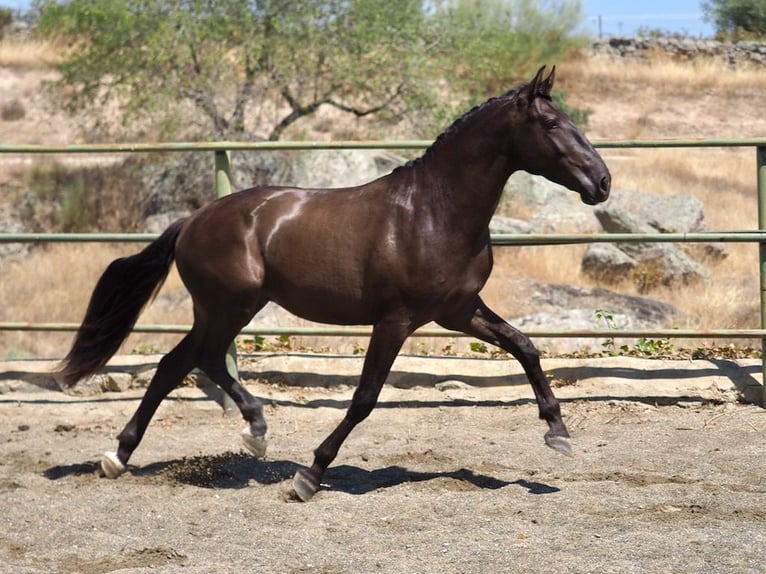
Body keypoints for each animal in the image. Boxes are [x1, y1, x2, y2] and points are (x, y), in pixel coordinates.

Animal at [60, 66, 612, 500]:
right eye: (552, 124)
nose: (602, 182)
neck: (434, 211)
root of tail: (193, 219)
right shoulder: (396, 320)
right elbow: (365, 397)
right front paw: (309, 476)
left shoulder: (458, 311)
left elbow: (526, 347)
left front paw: (559, 433)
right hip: (227, 305)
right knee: (187, 361)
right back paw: (157, 449)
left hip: (232, 308)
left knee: (190, 362)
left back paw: (202, 441)